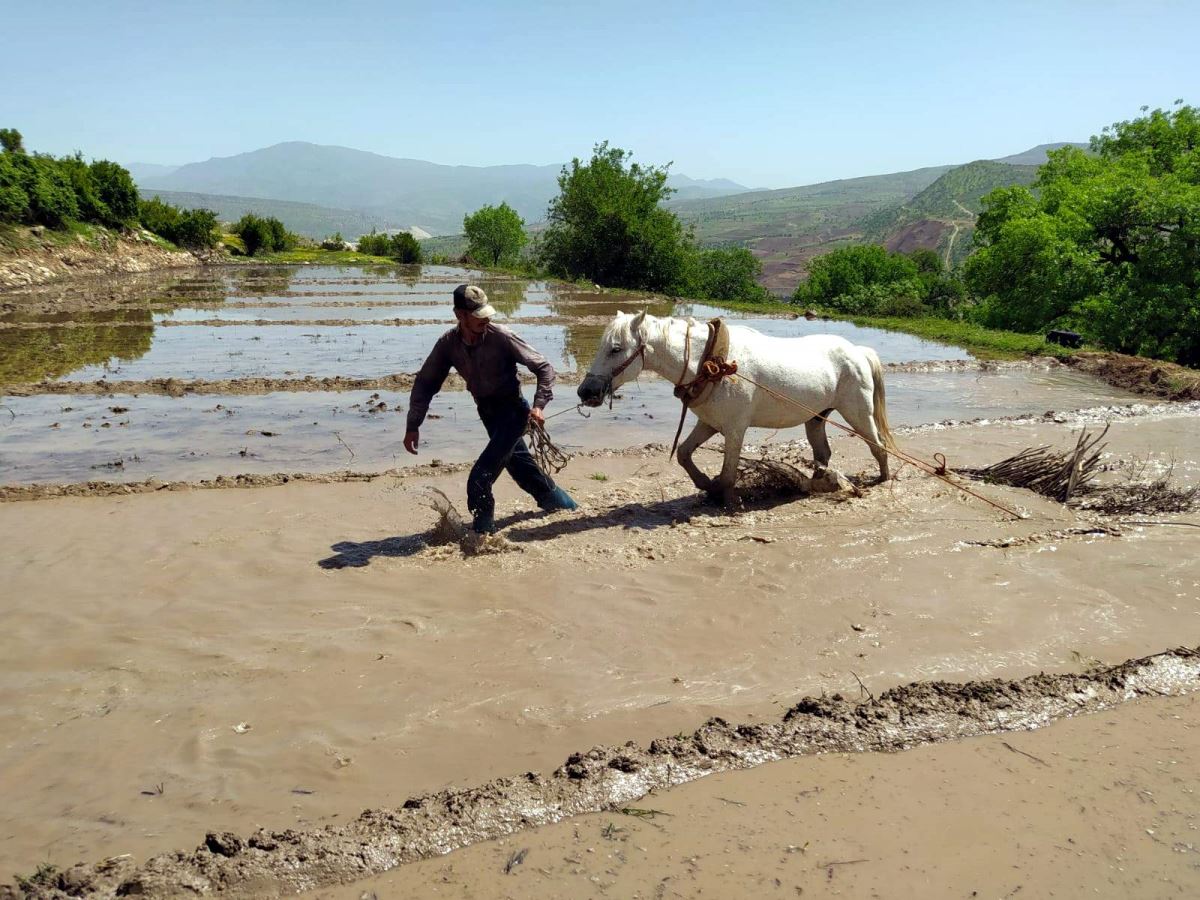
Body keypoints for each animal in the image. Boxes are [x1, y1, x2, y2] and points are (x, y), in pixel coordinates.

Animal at [576, 312, 897, 508]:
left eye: (616, 348)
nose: (586, 392)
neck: (712, 363)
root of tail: (858, 351)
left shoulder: (734, 429)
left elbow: (729, 473)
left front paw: (728, 499)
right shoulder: (709, 423)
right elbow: (684, 453)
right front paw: (706, 484)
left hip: (858, 414)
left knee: (877, 445)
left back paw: (882, 478)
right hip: (816, 418)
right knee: (823, 454)